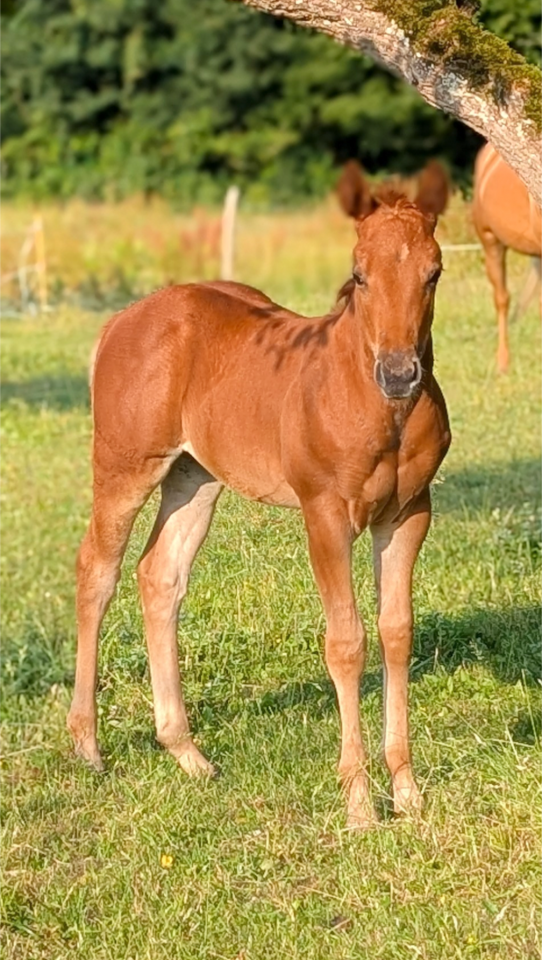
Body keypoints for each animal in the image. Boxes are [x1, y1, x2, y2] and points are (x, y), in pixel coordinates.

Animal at [67, 196, 450, 828]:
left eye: (434, 273)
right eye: (359, 275)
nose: (398, 374)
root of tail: (121, 321)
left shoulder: (408, 516)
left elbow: (396, 633)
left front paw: (409, 794)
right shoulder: (325, 516)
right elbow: (346, 643)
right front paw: (359, 804)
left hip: (194, 479)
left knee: (160, 575)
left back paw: (187, 753)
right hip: (126, 467)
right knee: (98, 571)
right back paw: (88, 745)